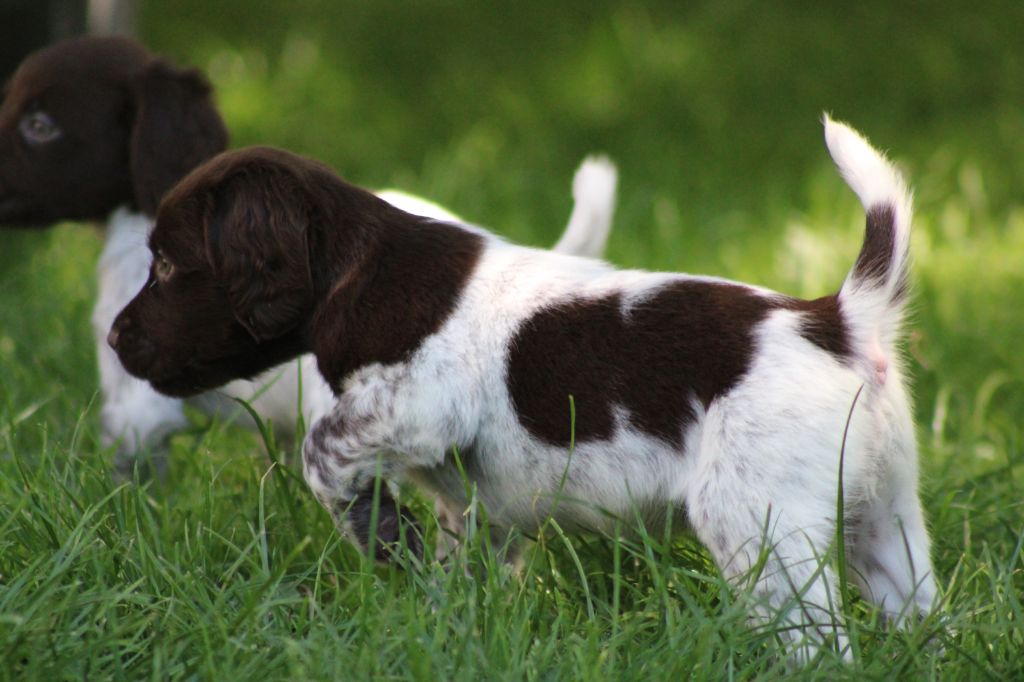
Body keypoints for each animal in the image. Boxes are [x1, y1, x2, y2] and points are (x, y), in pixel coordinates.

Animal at [110, 119, 937, 655]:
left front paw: (385, 538)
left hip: (760, 529)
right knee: (921, 619)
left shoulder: (418, 407)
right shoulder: (479, 510)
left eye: (170, 265)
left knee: (818, 644)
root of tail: (837, 319)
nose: (115, 340)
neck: (363, 269)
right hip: (886, 521)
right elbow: (457, 570)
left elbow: (323, 454)